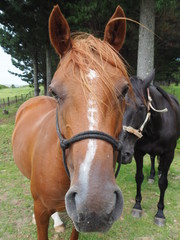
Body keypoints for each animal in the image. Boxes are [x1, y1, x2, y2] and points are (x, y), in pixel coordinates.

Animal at [120, 70, 180, 226]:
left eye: (141, 107)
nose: (121, 153)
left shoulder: (169, 154)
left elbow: (163, 183)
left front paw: (160, 213)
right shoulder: (138, 153)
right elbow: (139, 177)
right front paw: (137, 206)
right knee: (153, 158)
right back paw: (153, 175)